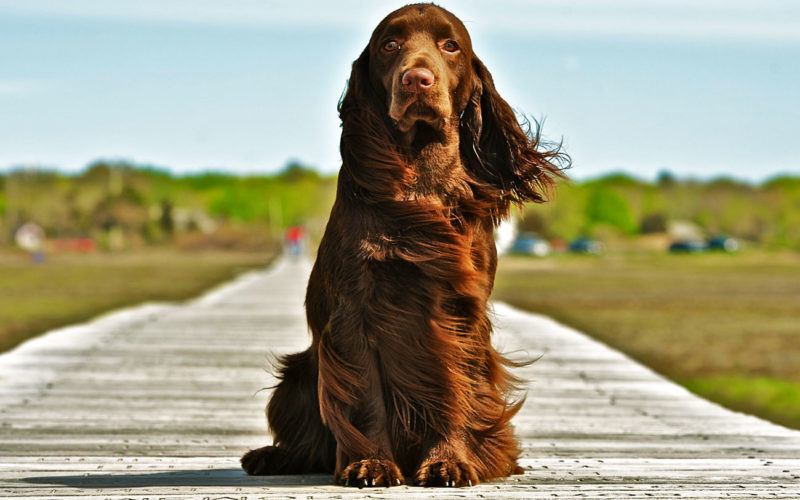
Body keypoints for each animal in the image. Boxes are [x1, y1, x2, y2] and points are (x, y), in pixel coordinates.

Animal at [241, 3, 564, 488]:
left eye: (450, 45)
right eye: (390, 45)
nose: (417, 79)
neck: (420, 180)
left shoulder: (457, 314)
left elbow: (452, 390)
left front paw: (449, 461)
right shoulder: (354, 312)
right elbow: (366, 398)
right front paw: (370, 464)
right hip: (295, 378)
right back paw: (270, 456)